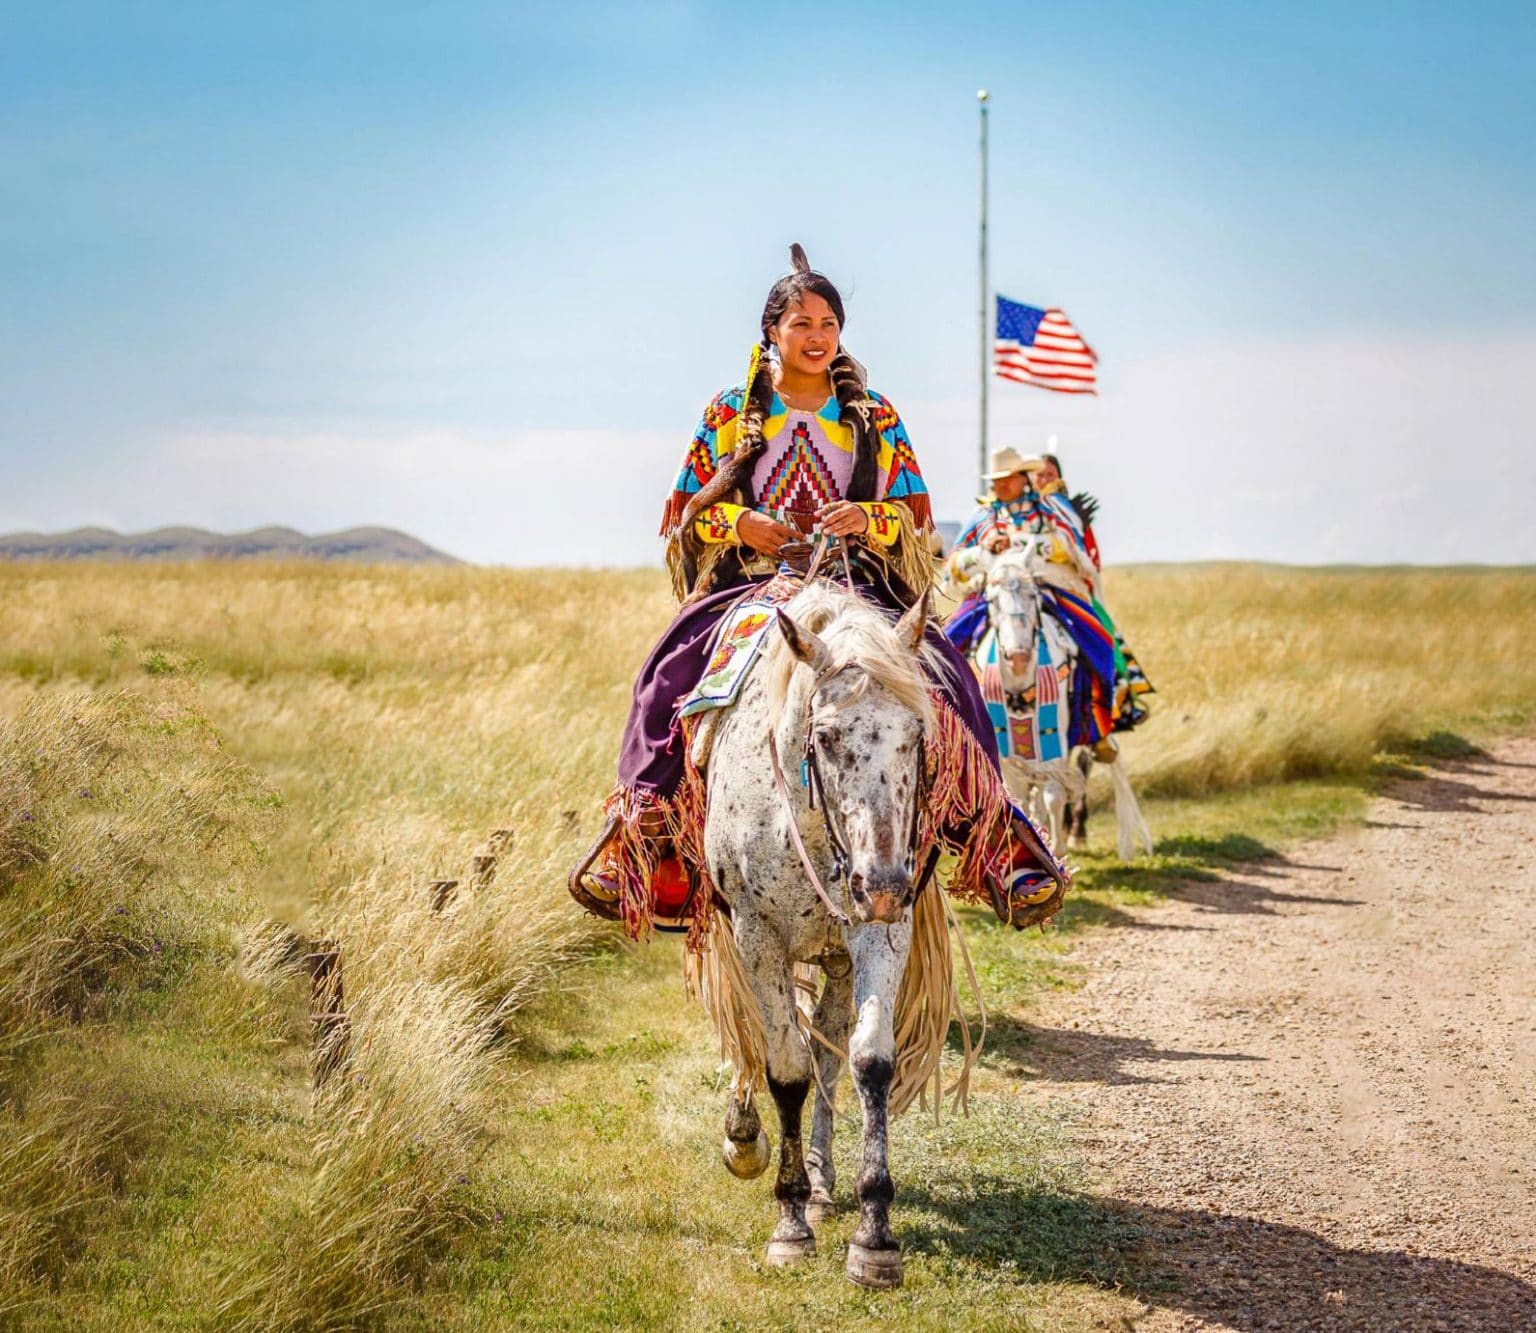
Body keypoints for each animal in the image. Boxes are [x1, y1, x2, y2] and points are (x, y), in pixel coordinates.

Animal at [700, 583, 933, 1290]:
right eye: (826, 738)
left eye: (916, 733)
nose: (882, 884)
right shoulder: (755, 936)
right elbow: (785, 1070)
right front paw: (790, 1221)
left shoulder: (880, 935)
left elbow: (867, 1062)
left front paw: (874, 1232)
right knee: (765, 1043)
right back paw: (746, 1138)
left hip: (835, 957)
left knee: (829, 1055)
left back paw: (825, 1181)